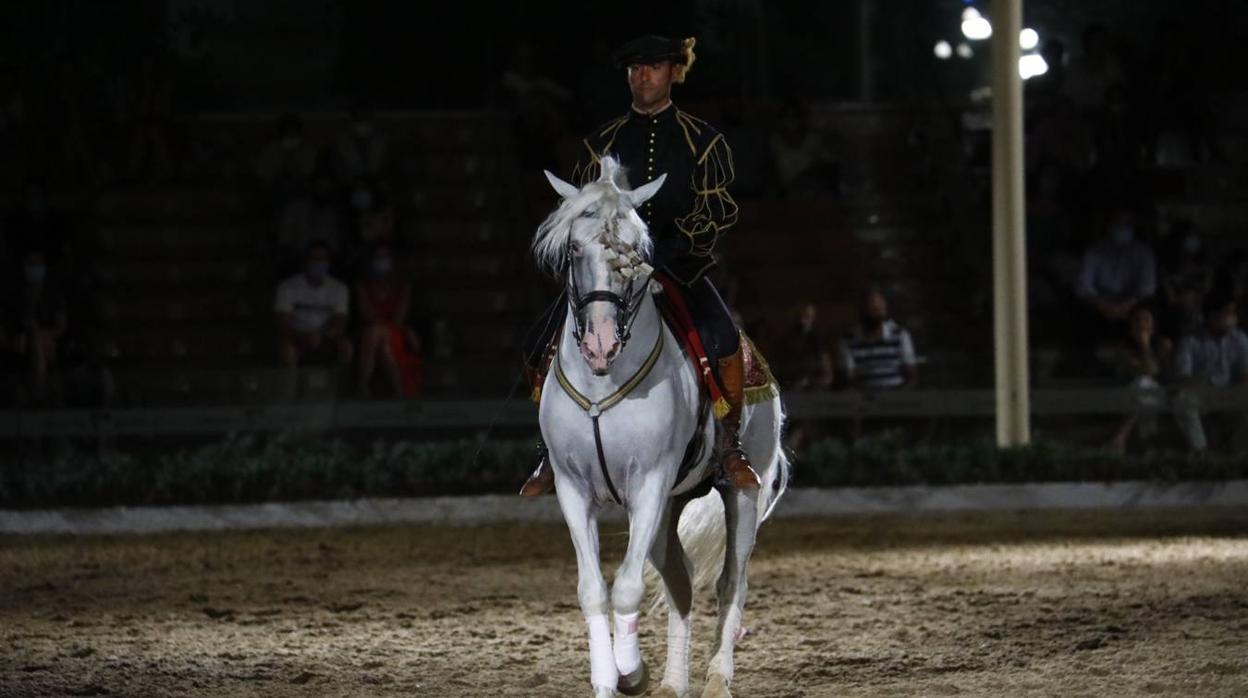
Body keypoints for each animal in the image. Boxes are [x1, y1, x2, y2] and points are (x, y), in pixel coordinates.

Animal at [534, 158, 788, 698]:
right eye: (573, 249)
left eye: (638, 250)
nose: (601, 344)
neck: (603, 382)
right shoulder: (573, 488)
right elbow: (594, 591)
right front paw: (614, 679)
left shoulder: (649, 484)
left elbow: (627, 587)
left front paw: (628, 669)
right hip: (668, 508)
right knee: (680, 580)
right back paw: (672, 682)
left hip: (742, 492)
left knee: (731, 581)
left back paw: (717, 677)